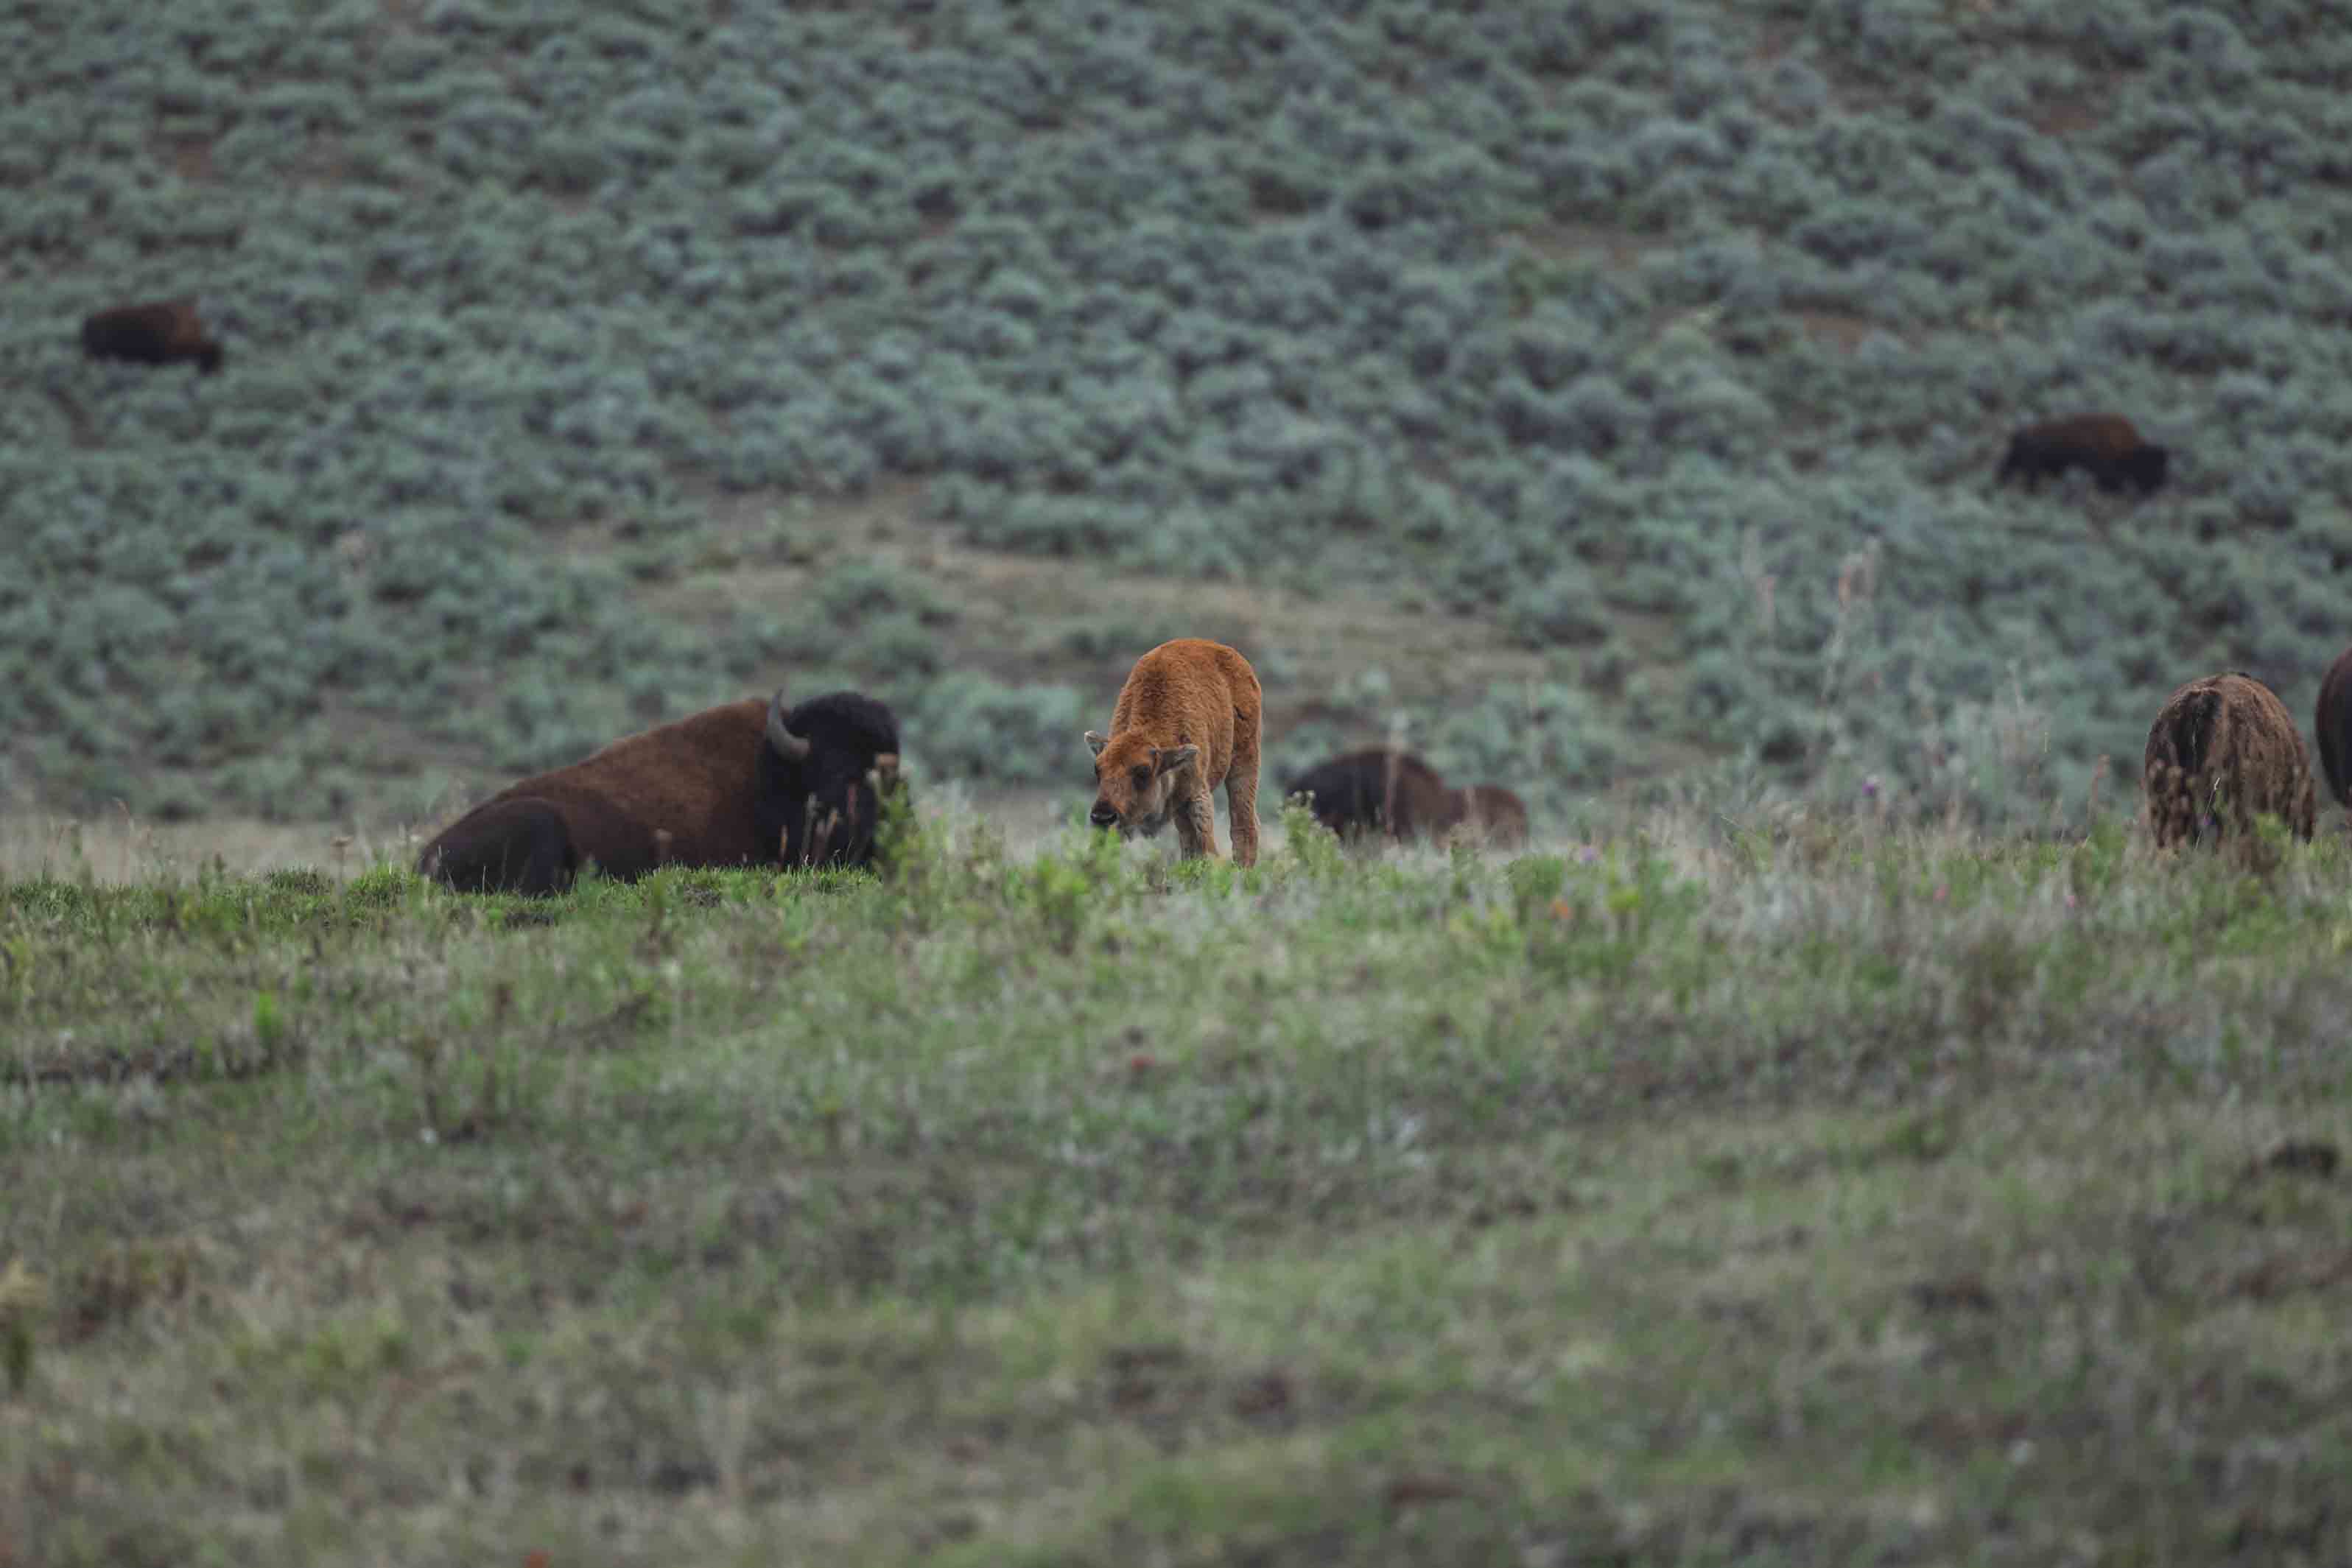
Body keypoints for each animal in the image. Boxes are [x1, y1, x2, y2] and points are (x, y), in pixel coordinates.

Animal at [417, 690, 902, 895]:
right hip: (541, 821)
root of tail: (426, 859)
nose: (876, 838)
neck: (774, 776)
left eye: (893, 772)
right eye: (838, 771)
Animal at [1085, 638, 1263, 866]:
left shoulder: (1197, 794)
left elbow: (1208, 851)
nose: (1103, 818)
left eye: (1143, 772)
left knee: (1244, 826)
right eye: (1097, 770)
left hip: (1244, 760)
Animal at [1995, 413, 2169, 496]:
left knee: (2006, 471)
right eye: (2151, 466)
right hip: (2030, 467)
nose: (2161, 483)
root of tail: (2017, 435)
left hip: (2016, 460)